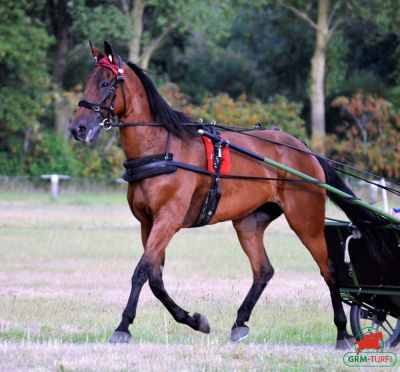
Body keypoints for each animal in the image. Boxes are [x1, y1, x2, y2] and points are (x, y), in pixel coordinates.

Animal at [69, 41, 384, 348]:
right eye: (86, 82)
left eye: (106, 83)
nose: (78, 128)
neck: (161, 149)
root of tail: (305, 150)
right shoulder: (148, 223)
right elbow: (155, 277)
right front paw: (193, 320)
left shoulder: (168, 220)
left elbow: (141, 271)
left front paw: (123, 327)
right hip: (248, 223)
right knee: (263, 270)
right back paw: (240, 322)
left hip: (306, 221)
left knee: (328, 270)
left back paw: (342, 332)